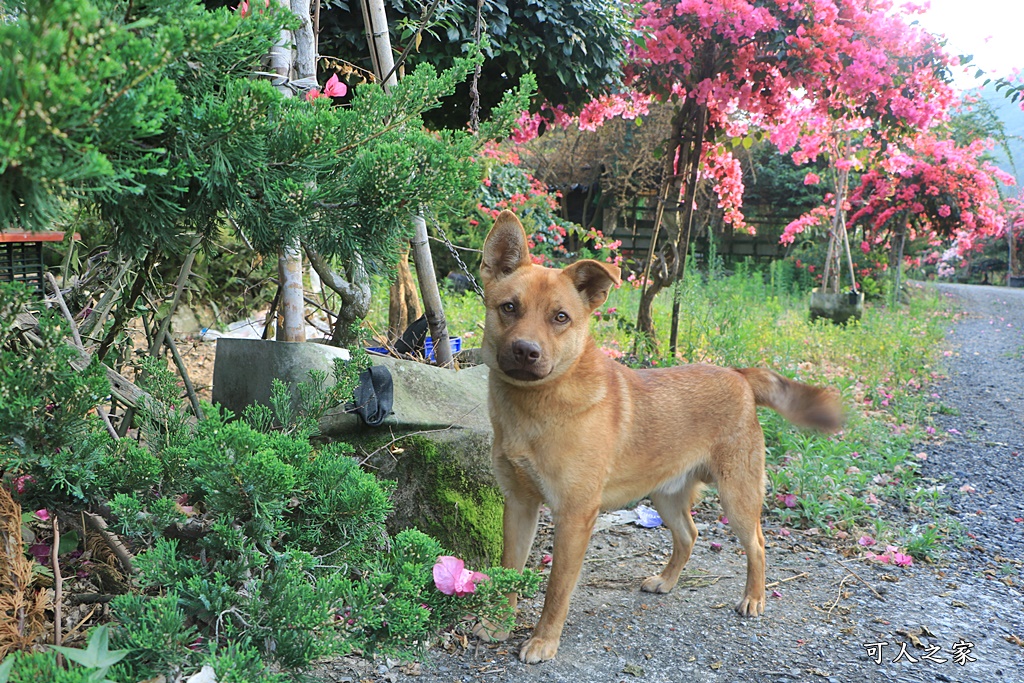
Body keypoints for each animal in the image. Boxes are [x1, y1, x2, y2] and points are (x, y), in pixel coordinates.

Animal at [475, 209, 843, 663]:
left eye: (560, 318)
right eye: (509, 307)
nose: (526, 351)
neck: (536, 406)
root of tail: (738, 375)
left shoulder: (574, 517)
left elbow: (556, 590)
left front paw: (544, 640)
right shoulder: (519, 506)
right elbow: (508, 571)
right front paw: (498, 624)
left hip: (737, 496)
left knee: (757, 543)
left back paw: (754, 598)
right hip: (665, 495)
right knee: (689, 535)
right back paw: (667, 581)